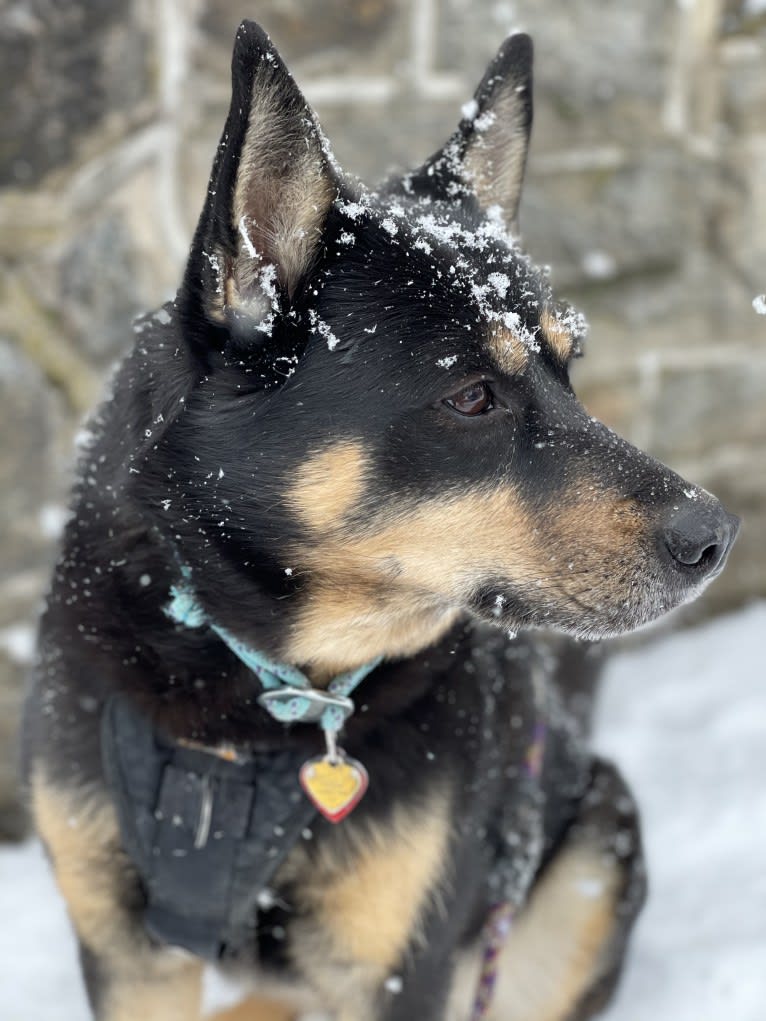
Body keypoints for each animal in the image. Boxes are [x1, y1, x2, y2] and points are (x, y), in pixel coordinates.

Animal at [24, 21, 739, 1021]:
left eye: (570, 367)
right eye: (472, 396)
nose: (715, 536)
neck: (262, 696)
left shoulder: (402, 961)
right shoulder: (125, 955)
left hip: (599, 840)